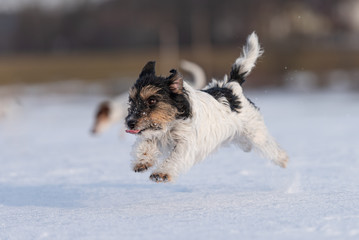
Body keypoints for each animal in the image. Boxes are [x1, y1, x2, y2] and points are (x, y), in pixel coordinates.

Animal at [125, 31, 288, 182]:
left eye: (152, 100)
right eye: (131, 101)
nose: (129, 122)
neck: (171, 123)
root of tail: (231, 86)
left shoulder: (186, 144)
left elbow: (174, 158)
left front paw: (161, 173)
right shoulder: (154, 135)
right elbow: (144, 144)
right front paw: (142, 161)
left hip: (255, 133)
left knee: (270, 146)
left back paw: (283, 160)